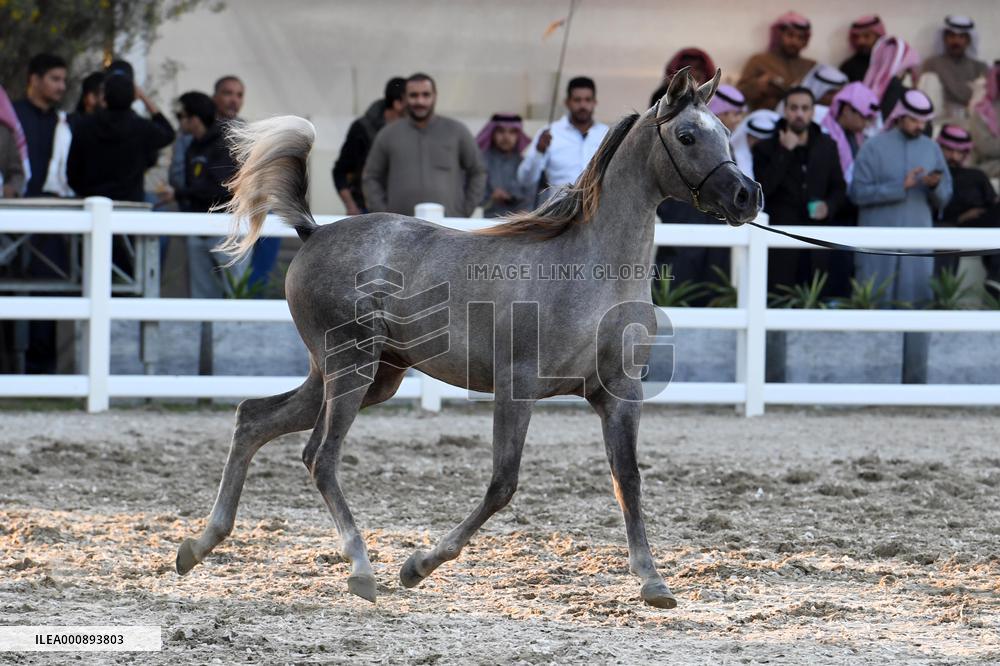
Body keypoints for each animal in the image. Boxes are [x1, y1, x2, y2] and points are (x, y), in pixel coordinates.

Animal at [175, 67, 762, 609]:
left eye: (726, 134)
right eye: (687, 136)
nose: (747, 195)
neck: (590, 271)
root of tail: (314, 231)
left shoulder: (619, 394)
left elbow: (629, 479)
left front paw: (653, 582)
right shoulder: (516, 389)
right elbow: (503, 484)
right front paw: (417, 566)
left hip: (365, 376)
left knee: (253, 418)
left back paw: (198, 547)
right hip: (350, 368)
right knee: (320, 456)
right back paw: (361, 568)